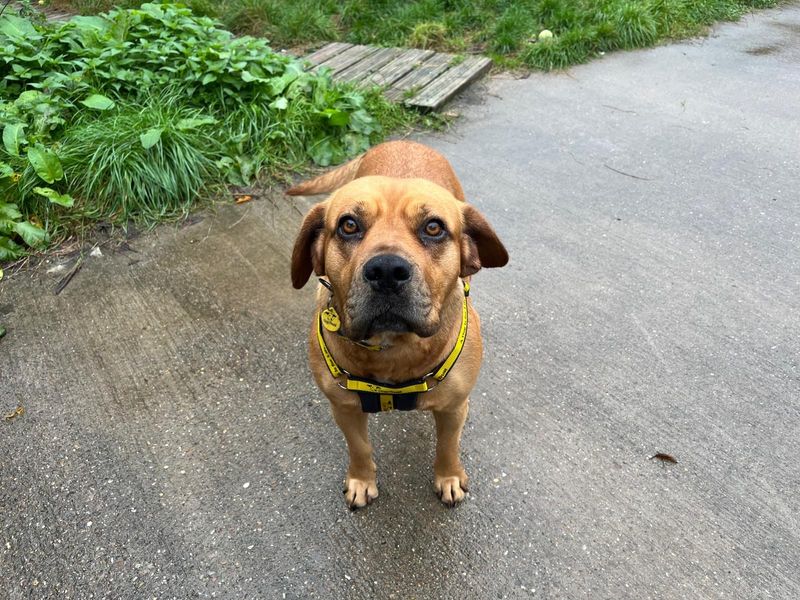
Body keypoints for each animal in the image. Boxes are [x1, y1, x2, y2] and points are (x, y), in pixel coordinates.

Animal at [290, 139, 510, 506]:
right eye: (349, 225)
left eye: (433, 227)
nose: (387, 271)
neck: (394, 349)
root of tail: (404, 140)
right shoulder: (344, 409)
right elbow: (359, 448)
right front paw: (361, 479)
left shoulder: (454, 408)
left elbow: (448, 447)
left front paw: (448, 476)